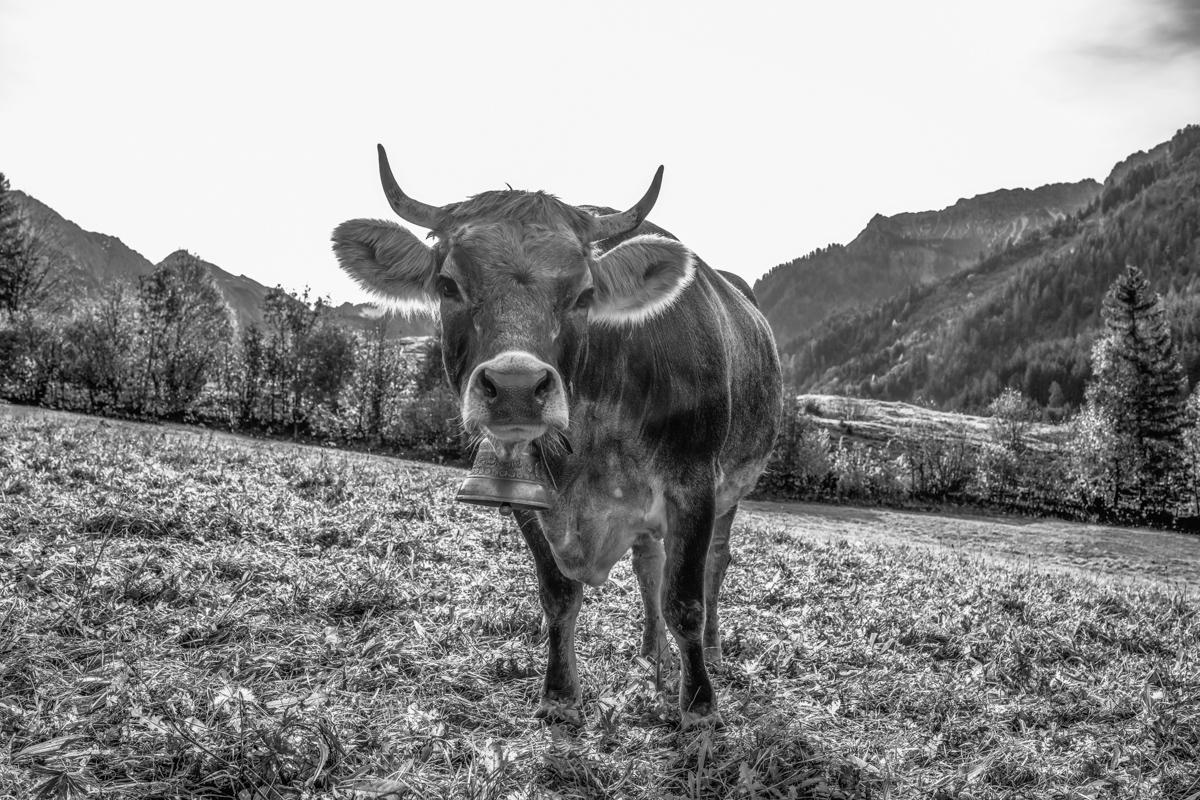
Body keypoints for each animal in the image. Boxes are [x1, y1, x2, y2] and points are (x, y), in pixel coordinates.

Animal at [331, 145, 782, 729]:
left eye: (584, 294)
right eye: (448, 285)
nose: (516, 386)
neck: (587, 450)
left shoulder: (694, 483)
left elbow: (685, 600)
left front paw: (700, 707)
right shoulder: (525, 492)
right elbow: (559, 594)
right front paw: (561, 695)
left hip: (732, 489)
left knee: (714, 564)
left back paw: (711, 652)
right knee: (649, 565)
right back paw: (650, 653)